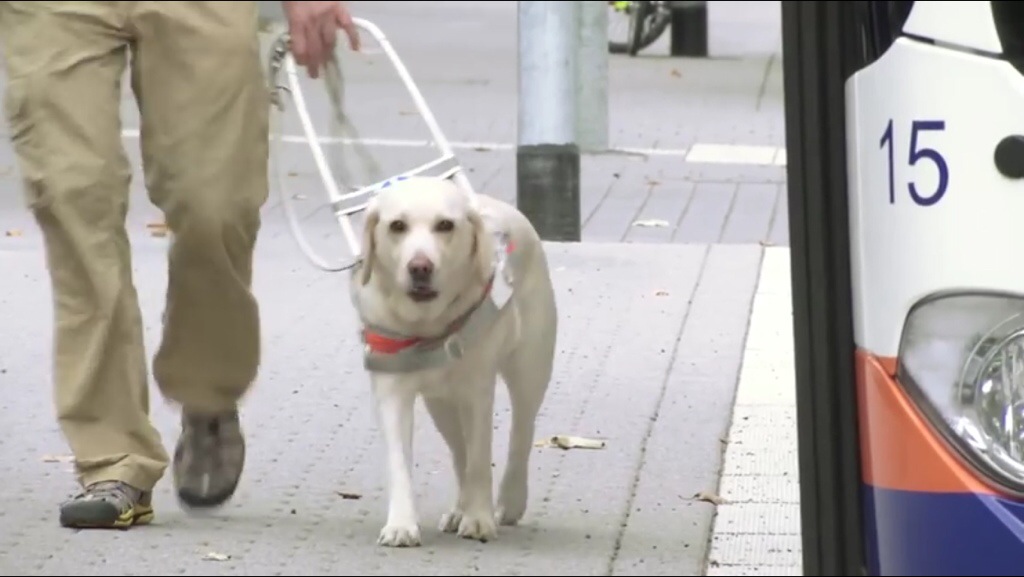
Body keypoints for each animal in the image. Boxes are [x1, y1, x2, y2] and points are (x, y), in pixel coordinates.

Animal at [348, 175, 558, 548]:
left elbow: (480, 459)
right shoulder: (391, 393)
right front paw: (401, 524)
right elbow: (400, 462)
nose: (420, 267)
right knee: (459, 451)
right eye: (397, 226)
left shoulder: (477, 391)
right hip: (441, 402)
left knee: (520, 433)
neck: (427, 326)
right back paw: (460, 508)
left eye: (445, 225)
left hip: (529, 369)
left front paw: (479, 519)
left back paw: (508, 502)